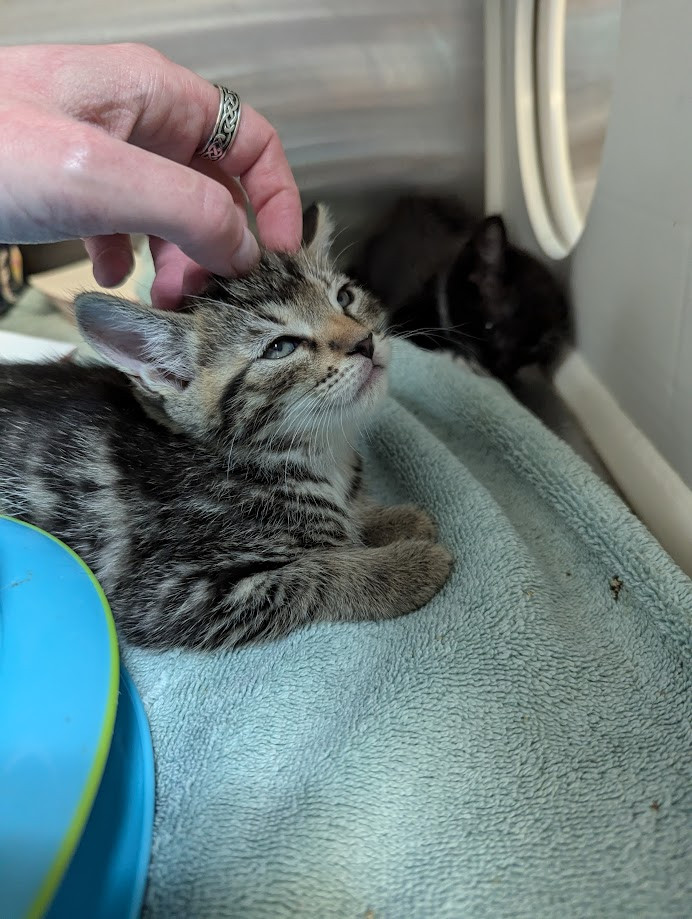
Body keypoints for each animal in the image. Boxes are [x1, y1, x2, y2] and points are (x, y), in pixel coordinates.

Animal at [0, 205, 452, 652]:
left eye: (344, 297)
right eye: (280, 347)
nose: (365, 342)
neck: (315, 451)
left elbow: (347, 523)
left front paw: (393, 520)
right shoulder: (170, 594)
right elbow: (314, 574)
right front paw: (406, 567)